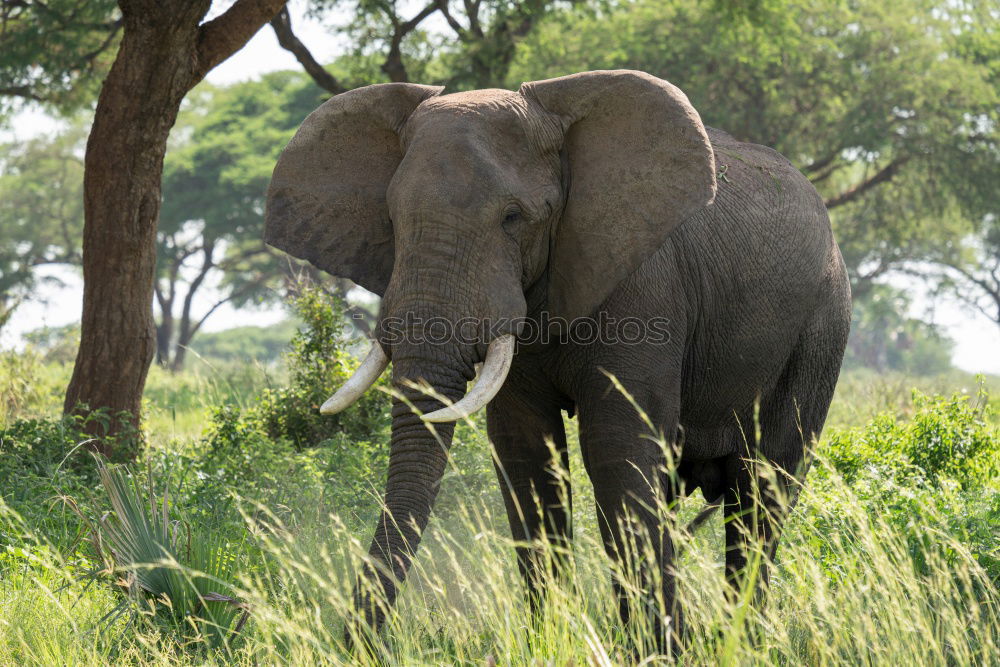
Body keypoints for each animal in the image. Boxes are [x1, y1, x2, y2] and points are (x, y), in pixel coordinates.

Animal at [262, 70, 848, 648]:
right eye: (391, 217)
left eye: (513, 217)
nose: (354, 644)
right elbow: (526, 452)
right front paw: (554, 640)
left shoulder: (645, 285)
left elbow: (617, 447)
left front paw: (656, 650)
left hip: (821, 326)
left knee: (764, 490)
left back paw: (741, 641)